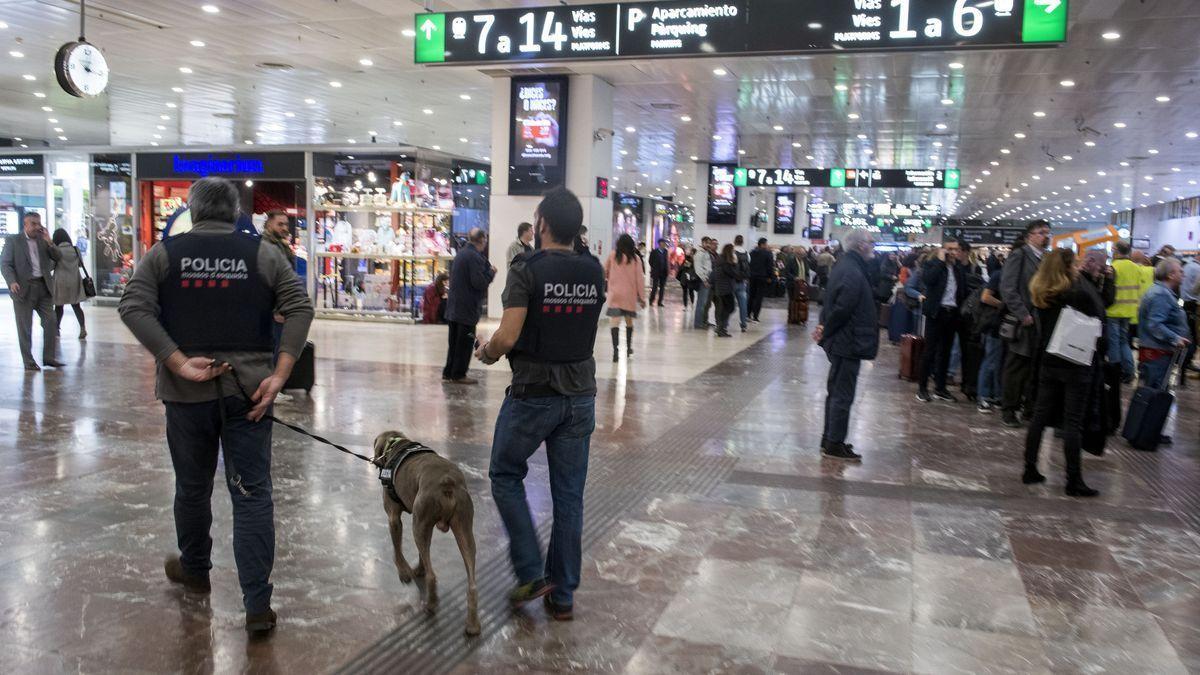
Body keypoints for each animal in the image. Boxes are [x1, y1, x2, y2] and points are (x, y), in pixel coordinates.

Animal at [369, 427, 477, 634]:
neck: (396, 444)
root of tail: (447, 482)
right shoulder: (425, 523)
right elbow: (421, 552)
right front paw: (418, 568)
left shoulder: (394, 518)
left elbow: (397, 549)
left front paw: (404, 573)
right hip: (462, 527)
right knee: (472, 583)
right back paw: (473, 625)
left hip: (420, 523)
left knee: (432, 576)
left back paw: (431, 605)